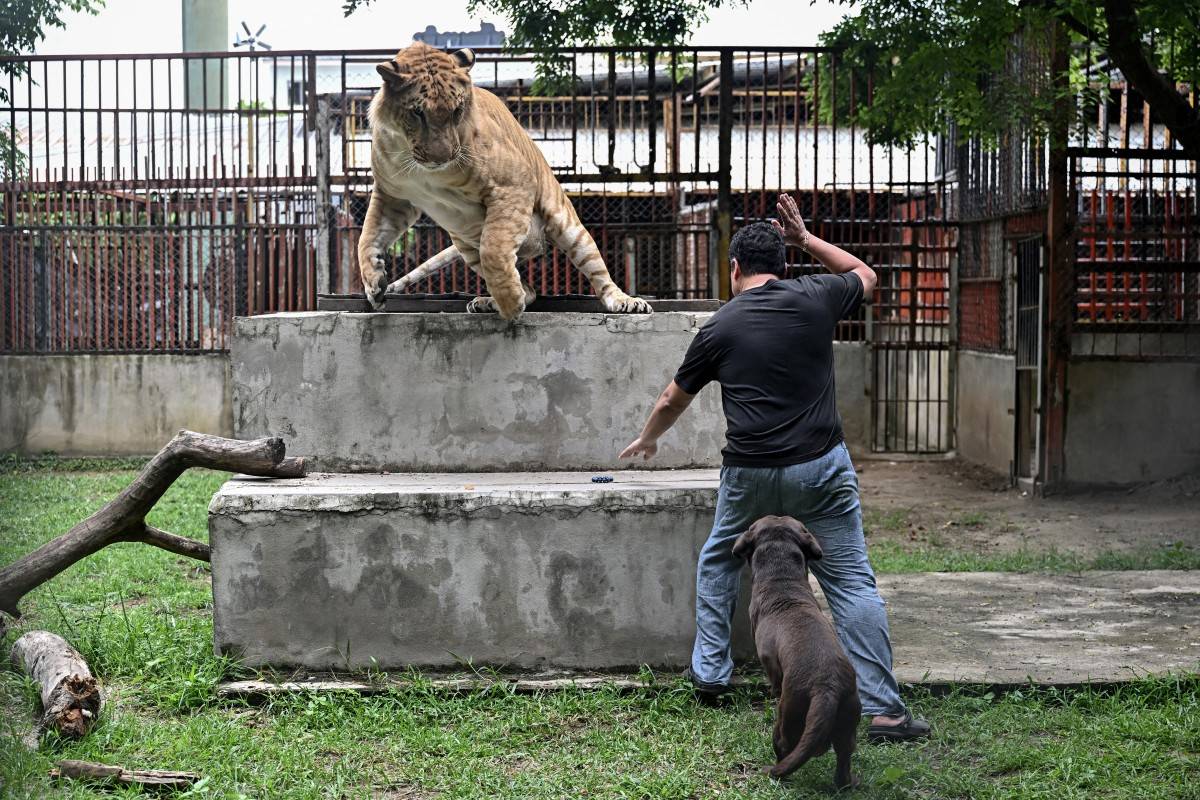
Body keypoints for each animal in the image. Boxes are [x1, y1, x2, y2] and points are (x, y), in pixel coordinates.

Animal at [358, 42, 653, 319]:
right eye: (417, 113)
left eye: (457, 111)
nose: (442, 157)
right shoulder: (393, 196)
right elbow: (367, 237)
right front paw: (374, 284)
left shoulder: (514, 184)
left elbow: (495, 247)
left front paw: (510, 304)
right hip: (466, 246)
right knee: (529, 288)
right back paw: (489, 301)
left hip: (567, 225)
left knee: (597, 273)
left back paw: (626, 301)